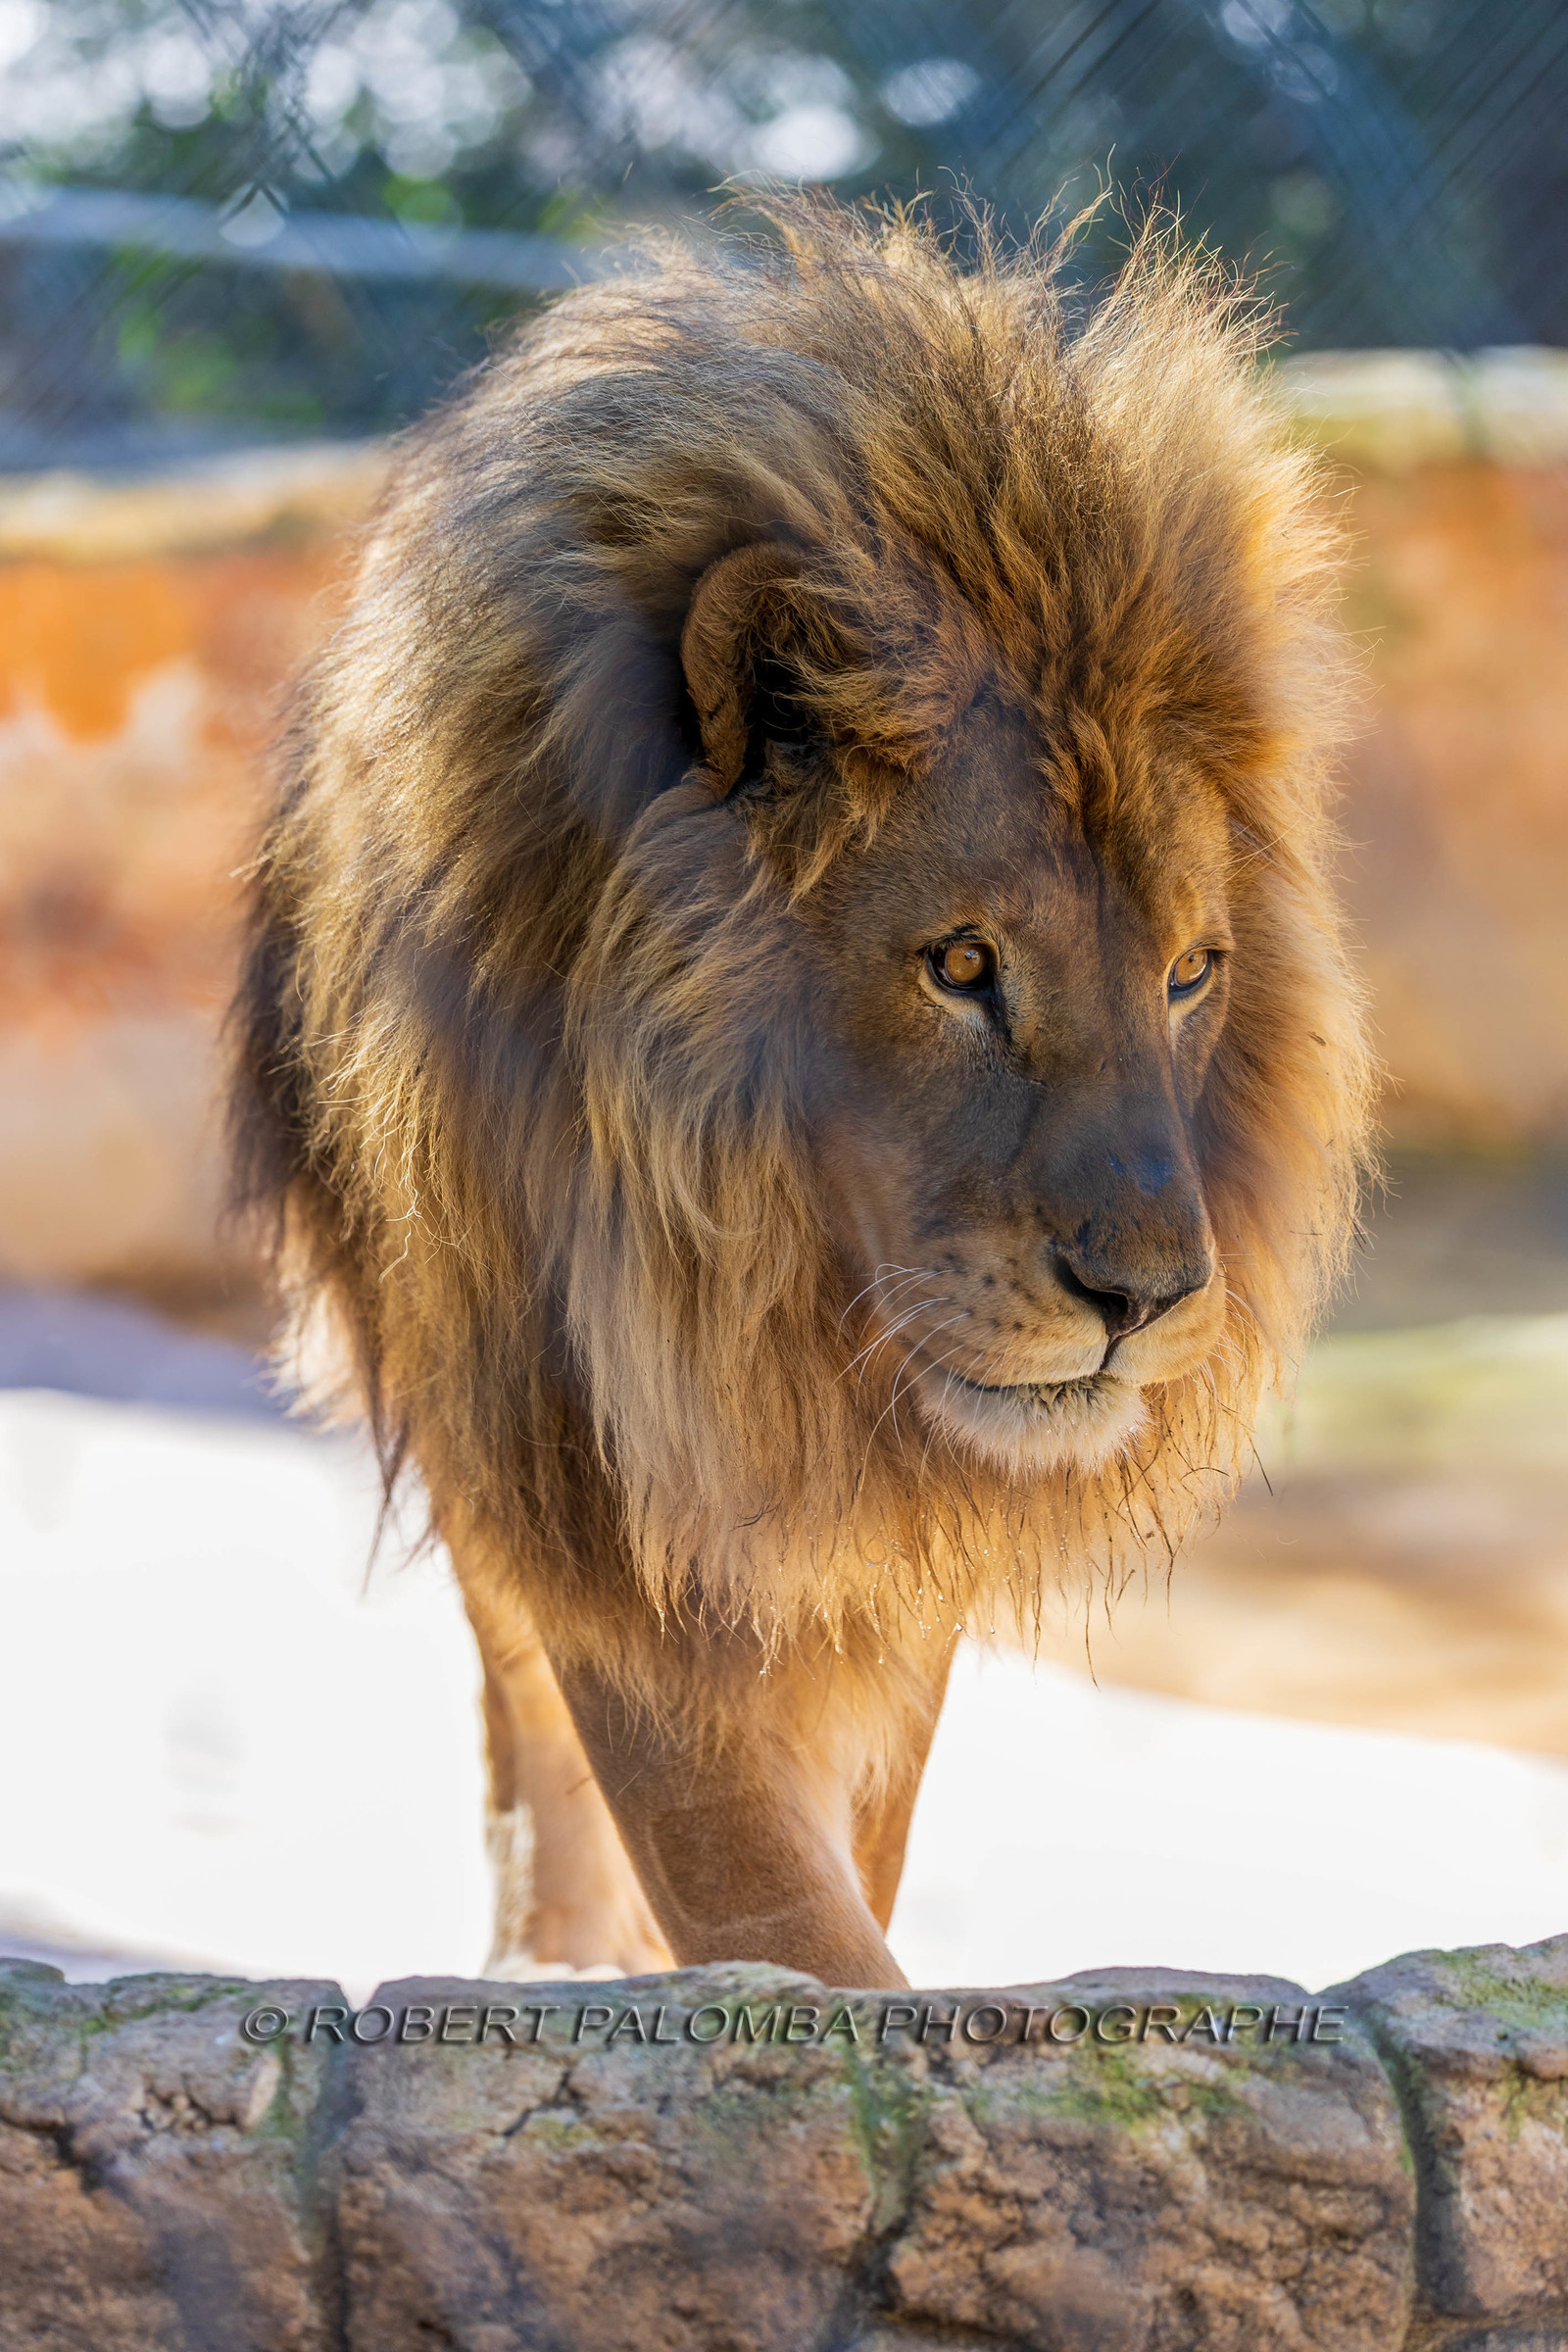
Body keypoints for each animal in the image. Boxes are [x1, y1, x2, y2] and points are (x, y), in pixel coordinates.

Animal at [231, 200, 1372, 1992]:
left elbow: (859, 1852)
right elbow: (772, 1906)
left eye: (1193, 974)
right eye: (962, 964)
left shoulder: (892, 1562)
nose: (1148, 1300)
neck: (762, 1288)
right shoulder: (588, 1463)